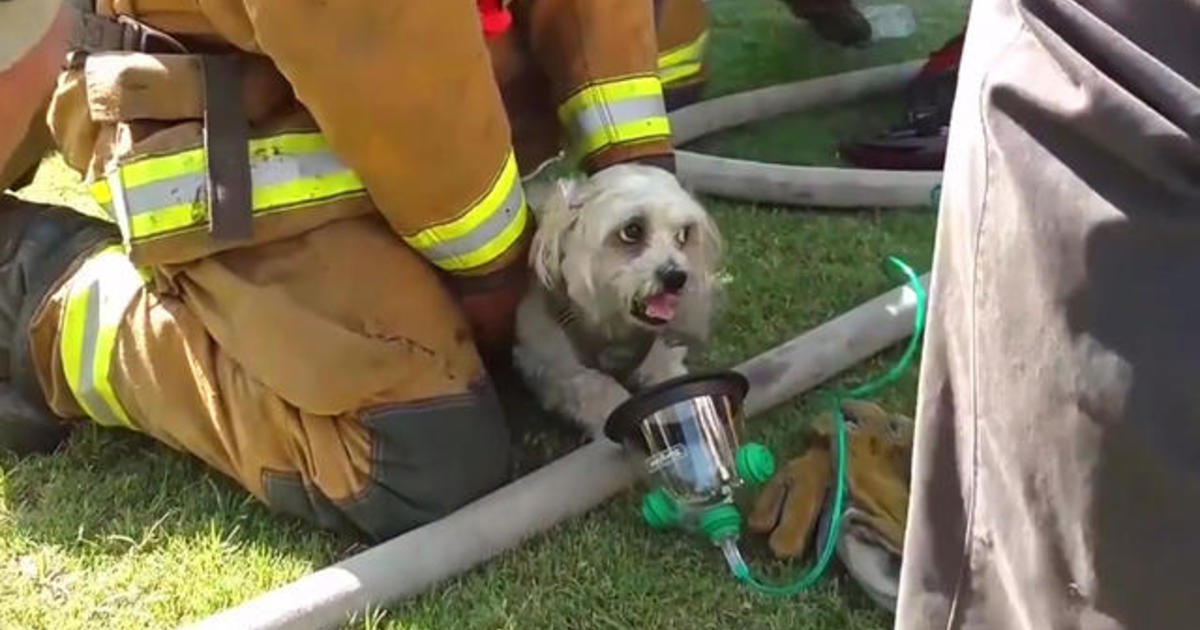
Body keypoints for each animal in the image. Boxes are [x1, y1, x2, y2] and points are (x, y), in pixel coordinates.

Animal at [511, 164, 715, 434]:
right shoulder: (550, 360)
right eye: (632, 230)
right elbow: (599, 388)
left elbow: (667, 370)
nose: (676, 277)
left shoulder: (653, 347)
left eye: (682, 235)